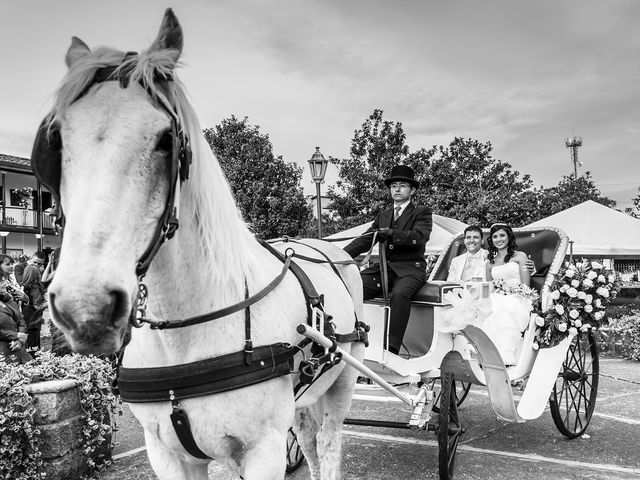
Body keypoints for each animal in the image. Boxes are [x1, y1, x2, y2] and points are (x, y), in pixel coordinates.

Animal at [38, 8, 364, 480]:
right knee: (306, 436)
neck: (186, 335)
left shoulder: (263, 451)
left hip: (344, 380)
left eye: (165, 140)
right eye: (57, 143)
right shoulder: (167, 453)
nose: (86, 308)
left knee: (329, 441)